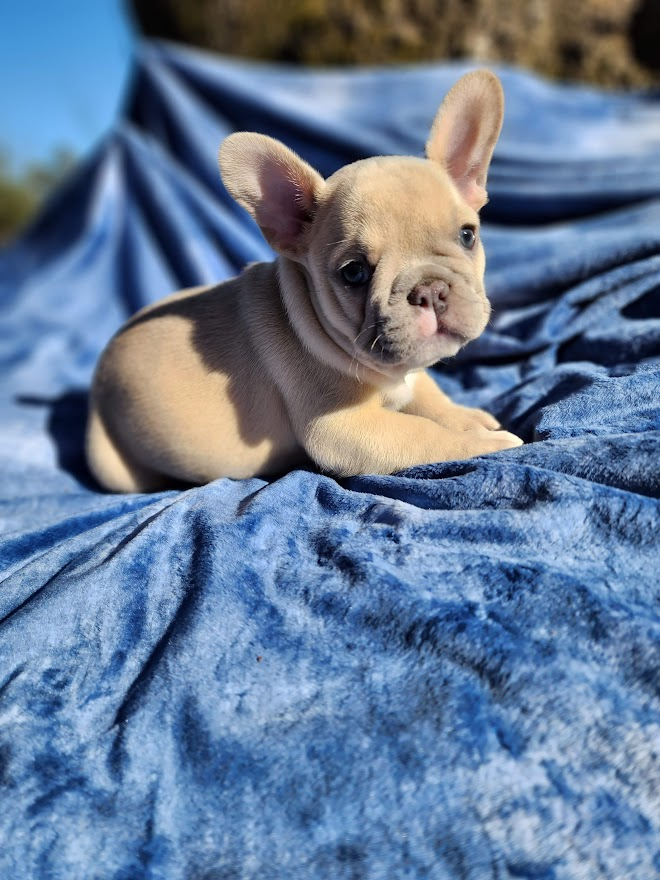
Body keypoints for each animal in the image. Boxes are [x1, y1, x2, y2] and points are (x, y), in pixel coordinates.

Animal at [86, 69, 520, 492]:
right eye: (354, 272)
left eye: (467, 235)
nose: (429, 290)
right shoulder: (343, 427)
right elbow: (422, 434)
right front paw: (488, 443)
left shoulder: (409, 374)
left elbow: (429, 396)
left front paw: (466, 417)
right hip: (111, 463)